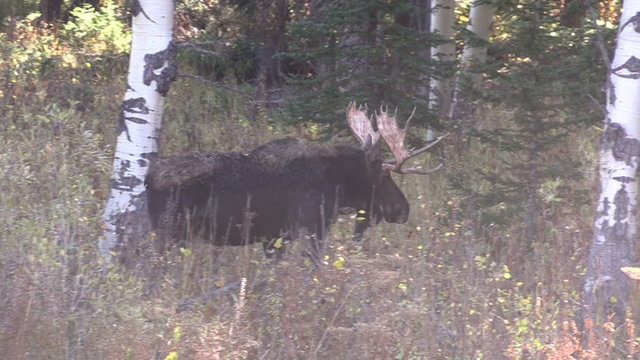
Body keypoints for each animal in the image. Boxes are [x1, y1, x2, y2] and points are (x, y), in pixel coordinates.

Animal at [146, 103, 444, 258]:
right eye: (383, 175)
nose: (403, 209)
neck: (337, 184)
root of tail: (150, 178)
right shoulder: (313, 228)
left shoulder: (275, 238)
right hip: (170, 233)